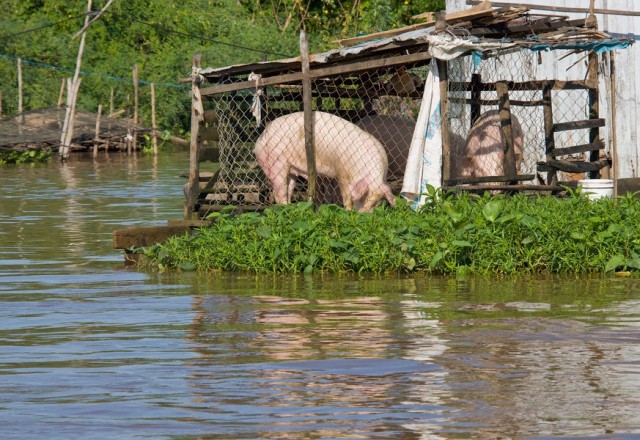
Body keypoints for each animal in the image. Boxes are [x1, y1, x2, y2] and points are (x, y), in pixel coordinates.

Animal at [254, 111, 396, 212]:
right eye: (364, 198)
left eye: (376, 203)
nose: (363, 216)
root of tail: (259, 140)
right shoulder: (341, 172)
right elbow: (346, 197)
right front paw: (348, 212)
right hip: (276, 164)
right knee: (279, 193)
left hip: (291, 170)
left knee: (288, 189)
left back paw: (290, 208)